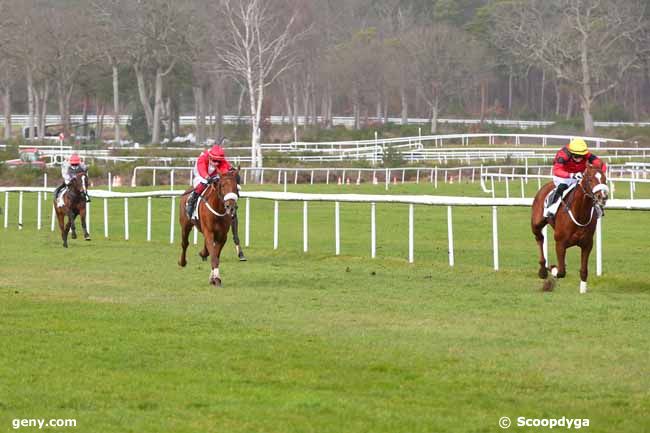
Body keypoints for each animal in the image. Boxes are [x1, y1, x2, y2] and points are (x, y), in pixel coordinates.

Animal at [528, 165, 604, 294]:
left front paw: (583, 290)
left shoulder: (587, 244)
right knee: (539, 238)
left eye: (604, 179)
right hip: (536, 224)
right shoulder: (560, 243)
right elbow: (561, 271)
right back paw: (543, 270)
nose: (603, 196)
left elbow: (584, 271)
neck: (580, 213)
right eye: (590, 180)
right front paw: (552, 269)